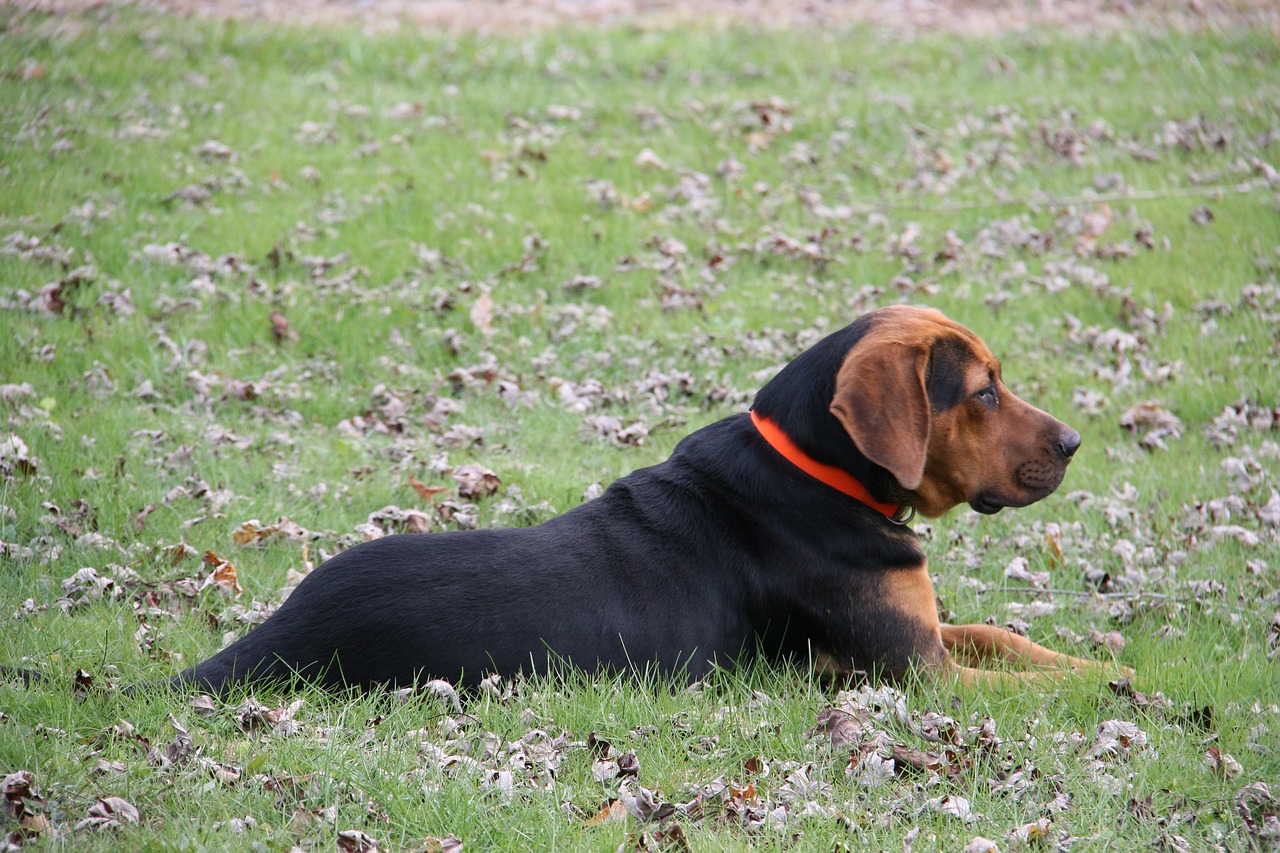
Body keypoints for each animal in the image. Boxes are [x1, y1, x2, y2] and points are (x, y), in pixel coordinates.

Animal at [7, 306, 1121, 691]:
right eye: (981, 393)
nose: (1075, 442)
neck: (816, 472)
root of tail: (271, 637)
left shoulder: (932, 640)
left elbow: (1014, 641)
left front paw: (1104, 662)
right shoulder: (914, 676)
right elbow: (1026, 693)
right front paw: (1112, 693)